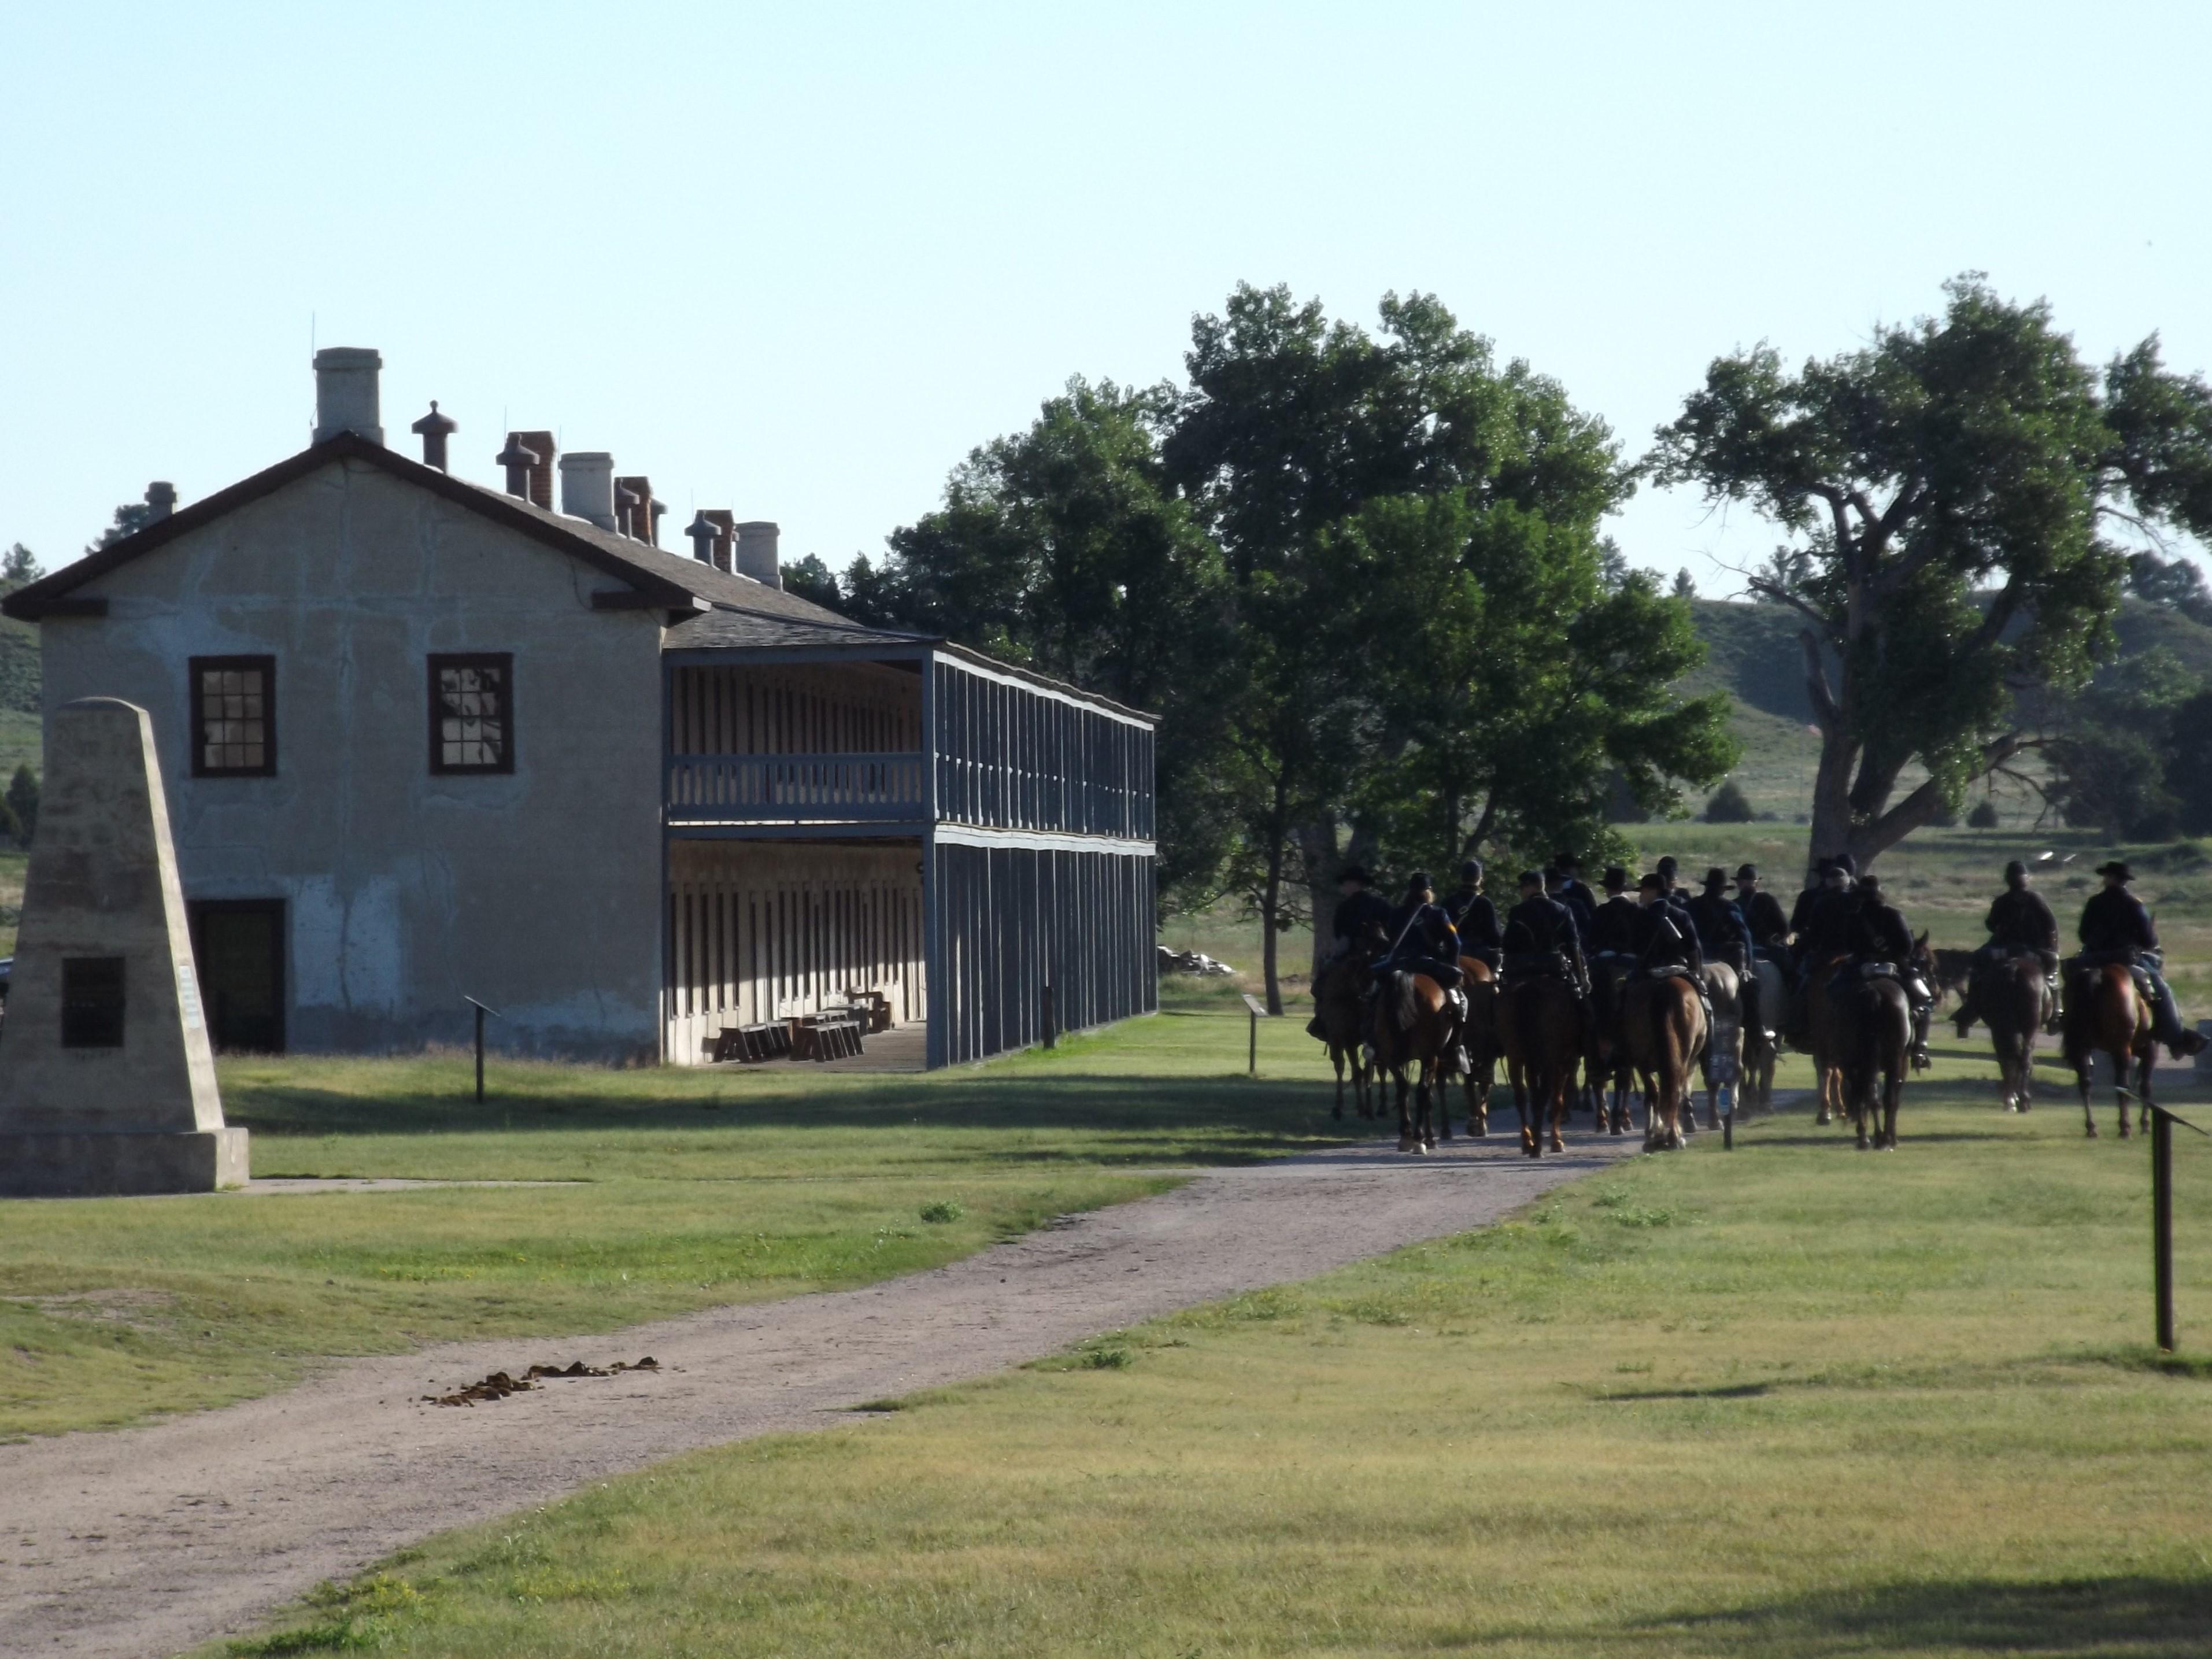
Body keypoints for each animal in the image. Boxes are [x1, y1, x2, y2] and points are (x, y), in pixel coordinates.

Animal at [1371, 973, 1460, 1159]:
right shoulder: (1434, 1059)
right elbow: (1430, 1095)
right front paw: (1431, 1137)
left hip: (1392, 1057)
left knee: (1403, 1088)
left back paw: (1406, 1136)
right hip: (1429, 1057)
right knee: (1422, 1091)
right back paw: (1419, 1139)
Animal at [1495, 973, 1584, 1159]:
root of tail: (1530, 989)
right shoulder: (1563, 1062)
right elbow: (1557, 1100)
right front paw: (1557, 1141)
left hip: (1516, 1058)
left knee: (1521, 1098)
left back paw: (1528, 1142)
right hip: (1549, 1062)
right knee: (1543, 1097)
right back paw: (1538, 1145)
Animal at [1627, 973, 1707, 1159]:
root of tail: (1663, 989)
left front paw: (1653, 1136)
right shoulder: (1691, 1062)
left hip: (1642, 1061)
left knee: (1655, 1093)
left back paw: (1656, 1139)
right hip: (1683, 1059)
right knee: (1675, 1091)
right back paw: (1674, 1138)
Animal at [1822, 960, 1911, 1159]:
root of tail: (1874, 993)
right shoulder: (1901, 1063)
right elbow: (1892, 1097)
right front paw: (1890, 1138)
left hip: (1858, 1062)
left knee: (1868, 1095)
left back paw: (1869, 1138)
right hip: (1892, 1061)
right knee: (1886, 1098)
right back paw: (1884, 1140)